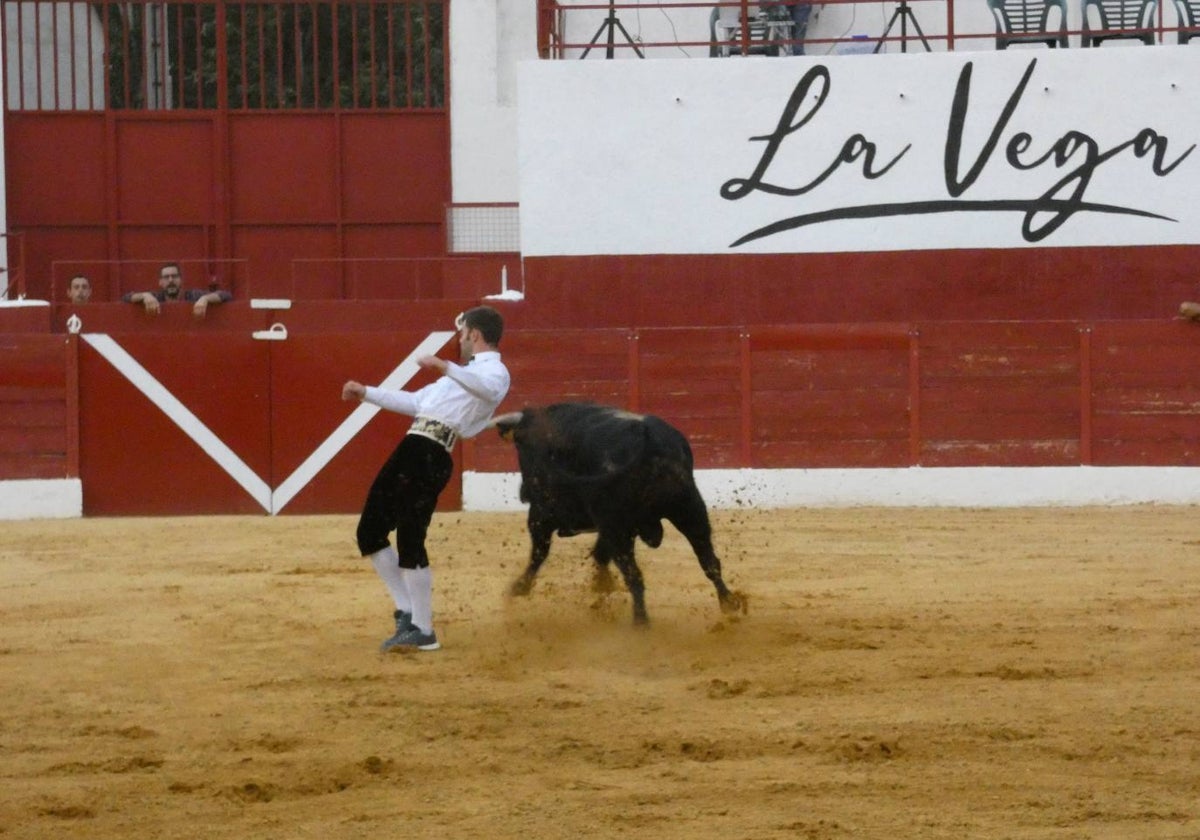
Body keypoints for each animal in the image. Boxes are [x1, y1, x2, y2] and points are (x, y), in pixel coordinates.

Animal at [492, 400, 744, 624]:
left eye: (519, 447)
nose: (524, 493)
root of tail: (649, 442)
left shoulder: (543, 514)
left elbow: (540, 553)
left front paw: (519, 588)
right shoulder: (610, 524)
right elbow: (599, 554)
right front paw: (602, 585)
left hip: (619, 524)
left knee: (634, 576)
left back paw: (640, 623)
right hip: (689, 507)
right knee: (709, 561)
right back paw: (729, 603)